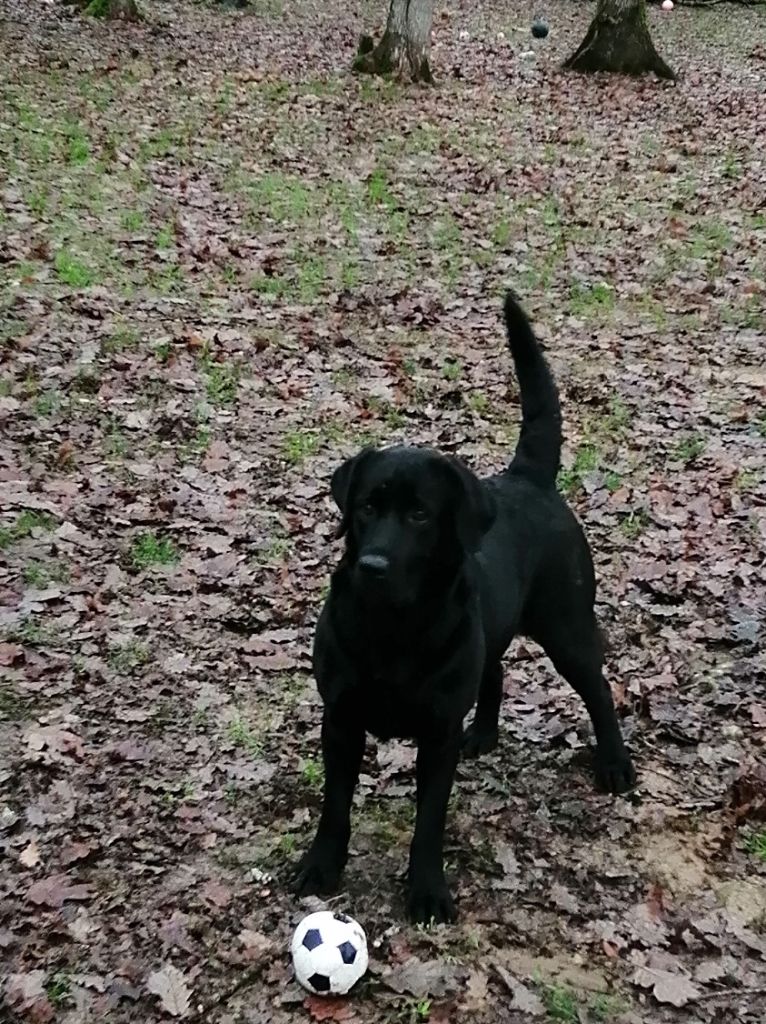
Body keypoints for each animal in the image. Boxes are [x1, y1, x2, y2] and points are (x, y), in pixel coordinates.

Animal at [296, 292, 639, 925]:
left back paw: (613, 763)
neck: (394, 628)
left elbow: (428, 822)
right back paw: (483, 733)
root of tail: (529, 478)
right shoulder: (342, 718)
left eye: (420, 515)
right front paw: (321, 867)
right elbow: (335, 805)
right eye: (367, 506)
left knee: (598, 689)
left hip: (567, 628)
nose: (373, 566)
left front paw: (428, 891)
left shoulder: (436, 736)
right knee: (495, 669)